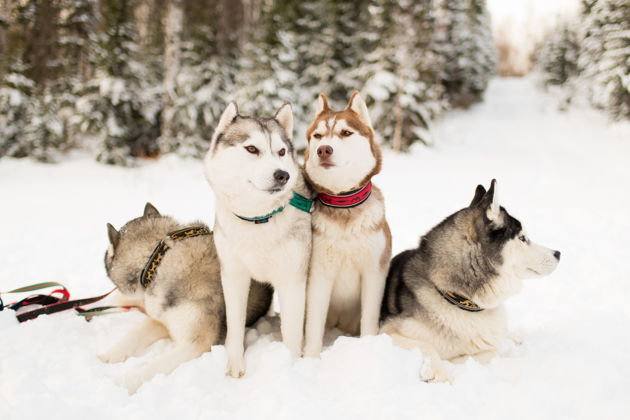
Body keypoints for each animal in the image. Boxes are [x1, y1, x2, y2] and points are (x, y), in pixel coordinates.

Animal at [100, 202, 272, 392]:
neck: (159, 258)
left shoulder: (195, 342)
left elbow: (155, 365)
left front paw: (126, 382)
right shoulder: (163, 319)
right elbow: (135, 332)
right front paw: (108, 356)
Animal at [205, 101, 314, 378]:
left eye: (281, 151)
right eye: (252, 149)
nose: (282, 175)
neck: (258, 219)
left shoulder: (292, 281)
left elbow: (292, 334)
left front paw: (290, 368)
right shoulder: (233, 276)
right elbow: (235, 325)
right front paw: (235, 365)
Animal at [304, 92, 392, 358]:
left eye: (345, 133)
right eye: (318, 135)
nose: (323, 149)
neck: (344, 203)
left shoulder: (373, 272)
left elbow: (369, 318)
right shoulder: (319, 275)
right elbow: (313, 326)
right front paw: (310, 359)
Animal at [380, 180, 564, 384]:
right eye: (523, 238)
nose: (558, 253)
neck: (460, 300)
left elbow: (486, 352)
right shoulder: (386, 332)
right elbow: (429, 347)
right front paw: (438, 370)